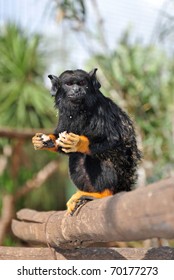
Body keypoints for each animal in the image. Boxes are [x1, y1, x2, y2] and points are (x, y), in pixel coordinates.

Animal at [32, 68, 141, 214]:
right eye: (69, 84)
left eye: (82, 83)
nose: (77, 90)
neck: (80, 110)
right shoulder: (64, 116)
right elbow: (62, 143)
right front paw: (45, 141)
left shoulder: (102, 110)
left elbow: (114, 141)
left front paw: (80, 142)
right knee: (76, 157)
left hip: (120, 179)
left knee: (94, 157)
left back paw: (103, 193)